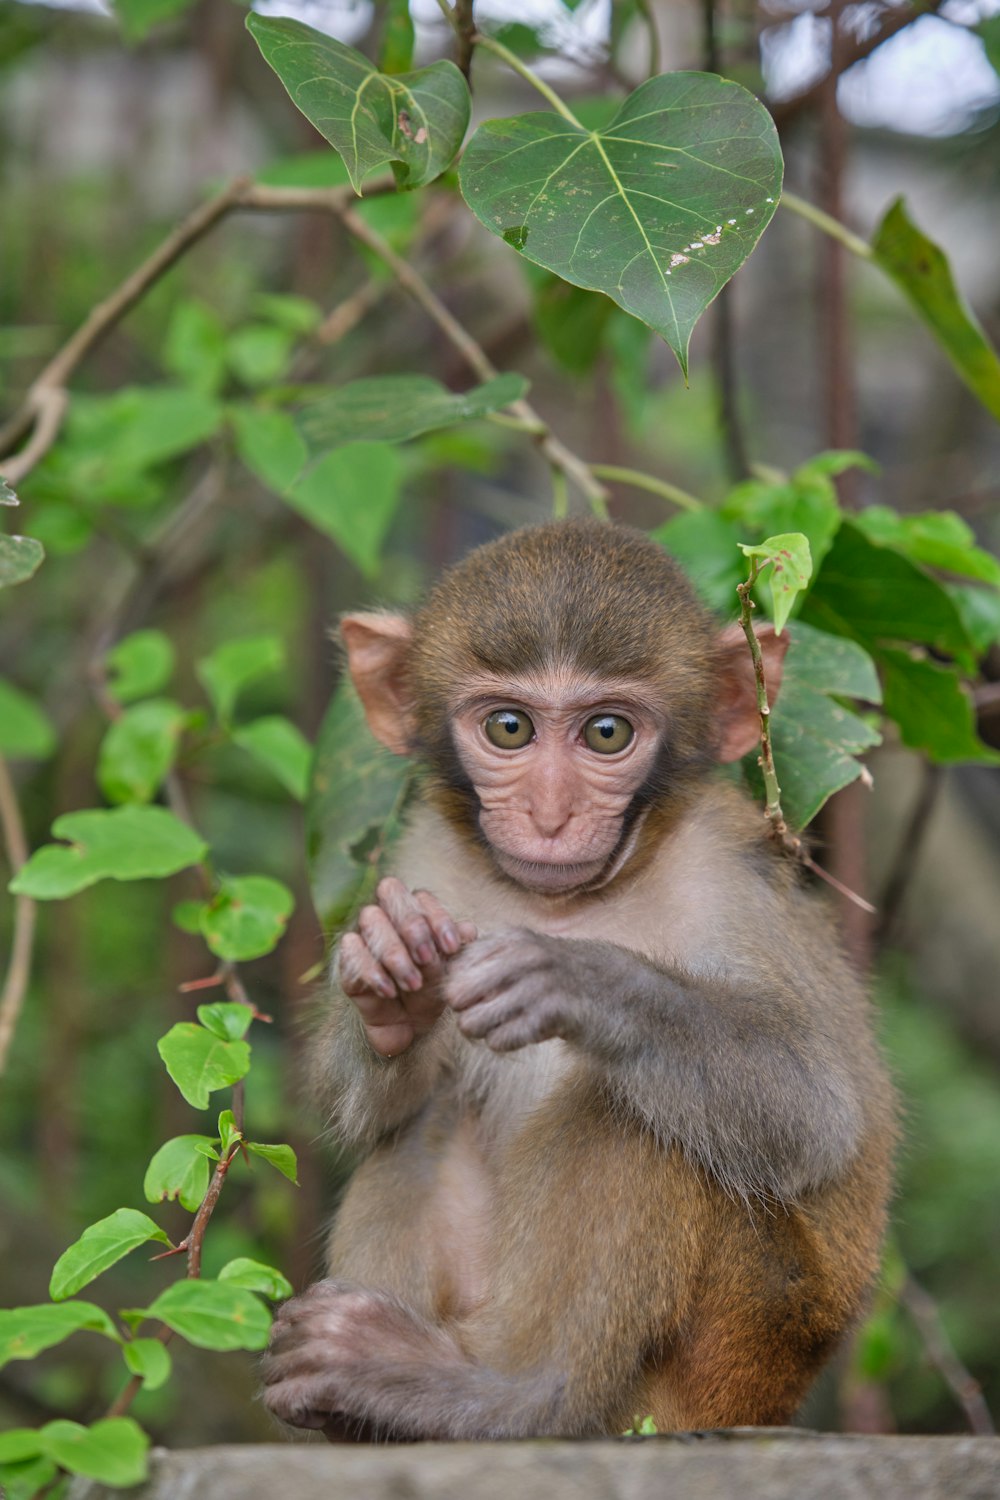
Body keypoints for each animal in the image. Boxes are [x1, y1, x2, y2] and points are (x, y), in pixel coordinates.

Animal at [262, 519, 893, 1440]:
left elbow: (812, 1111)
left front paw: (579, 981)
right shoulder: (425, 857)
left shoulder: (731, 881)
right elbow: (373, 1106)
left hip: (731, 1348)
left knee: (629, 1112)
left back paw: (506, 1393)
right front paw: (390, 982)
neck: (568, 902)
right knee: (428, 1114)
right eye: (509, 728)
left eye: (606, 734)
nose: (551, 815)